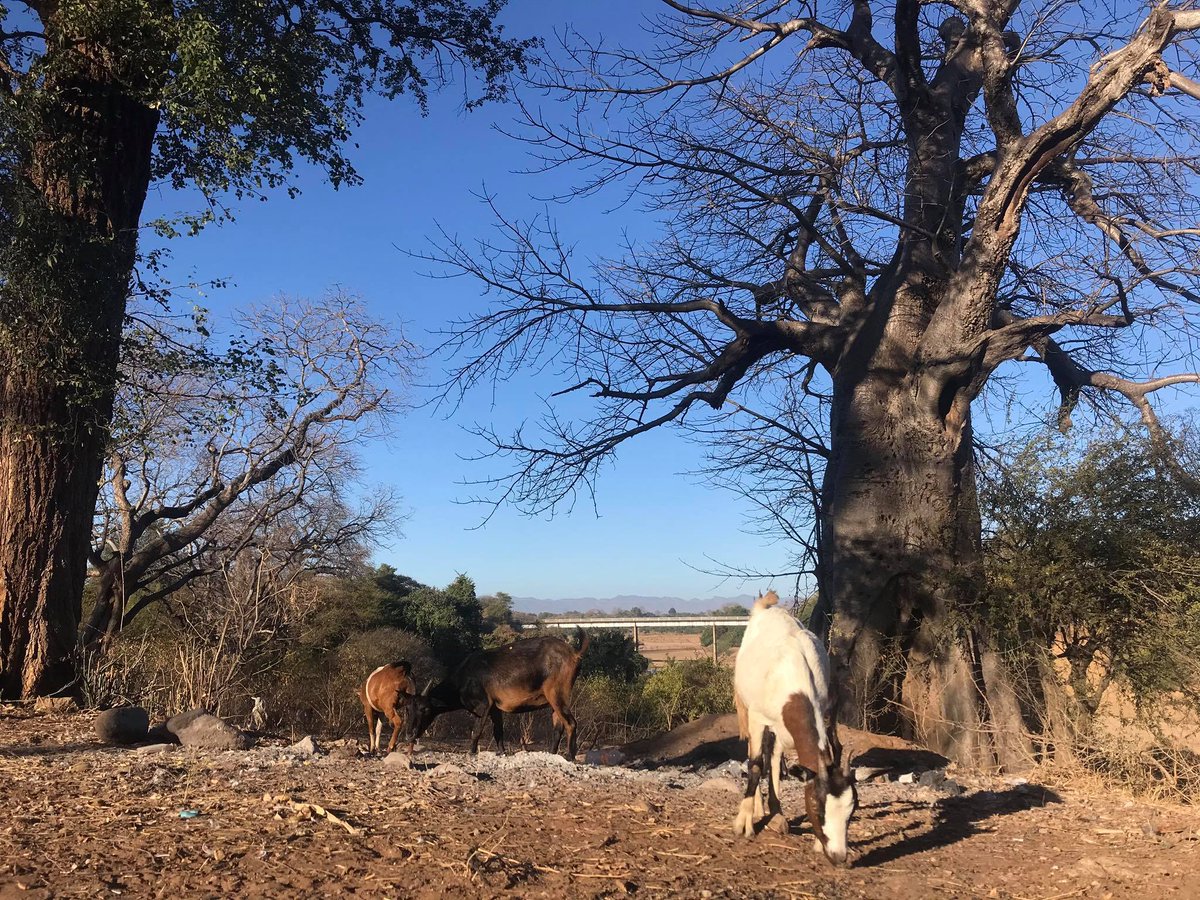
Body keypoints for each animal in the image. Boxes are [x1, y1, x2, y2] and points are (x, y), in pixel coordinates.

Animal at [409, 629, 589, 759]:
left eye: (425, 709)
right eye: (409, 709)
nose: (410, 734)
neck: (463, 678)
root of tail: (574, 653)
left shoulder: (483, 705)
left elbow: (476, 731)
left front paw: (471, 752)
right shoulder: (495, 708)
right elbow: (498, 732)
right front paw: (501, 752)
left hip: (557, 695)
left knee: (571, 723)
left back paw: (570, 756)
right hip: (553, 702)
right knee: (558, 727)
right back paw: (552, 754)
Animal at [733, 590, 857, 866]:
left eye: (851, 811)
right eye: (818, 807)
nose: (838, 856)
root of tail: (766, 607)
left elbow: (774, 761)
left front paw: (780, 817)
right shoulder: (757, 717)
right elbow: (755, 764)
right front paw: (744, 823)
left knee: (772, 756)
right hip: (746, 708)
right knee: (754, 754)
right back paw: (756, 809)